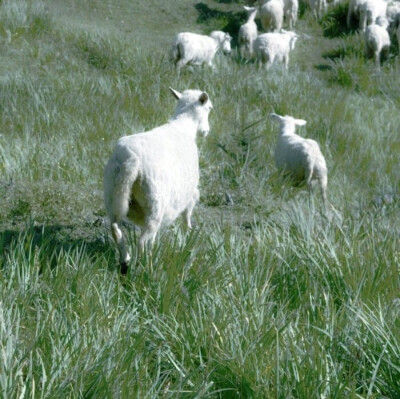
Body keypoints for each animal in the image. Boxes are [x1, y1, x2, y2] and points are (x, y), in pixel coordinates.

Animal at [104, 88, 214, 274]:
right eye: (209, 108)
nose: (206, 131)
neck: (184, 125)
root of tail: (130, 160)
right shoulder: (190, 195)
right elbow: (186, 219)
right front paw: (187, 240)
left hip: (114, 194)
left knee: (116, 228)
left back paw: (125, 263)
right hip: (155, 202)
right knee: (143, 241)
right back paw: (147, 269)